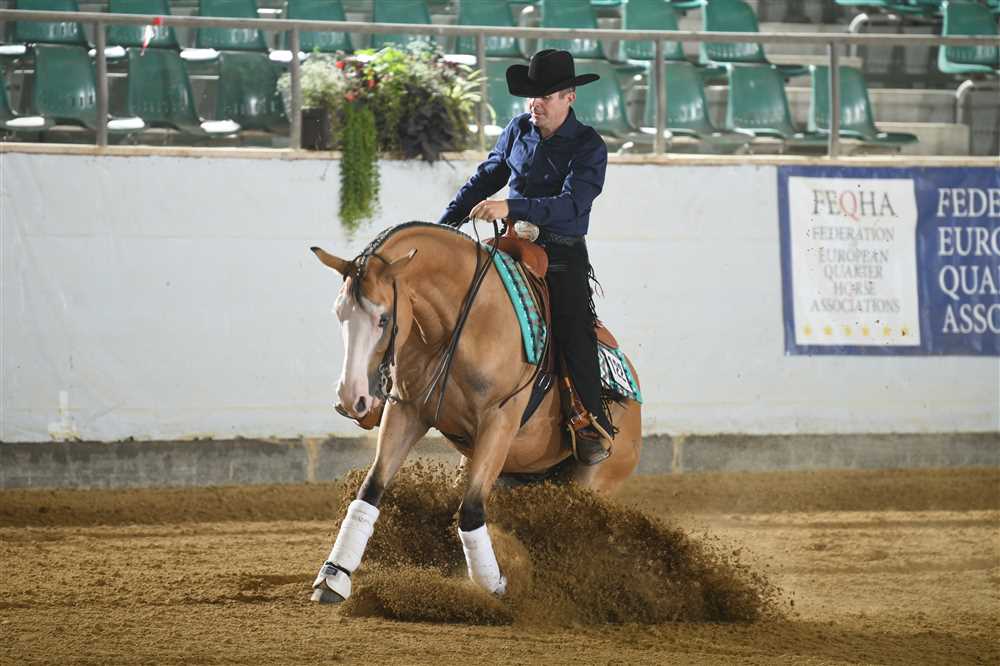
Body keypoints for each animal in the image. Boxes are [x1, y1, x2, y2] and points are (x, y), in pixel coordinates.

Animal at [309, 221, 642, 602]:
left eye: (383, 318)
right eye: (339, 314)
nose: (351, 399)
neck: (462, 324)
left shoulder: (498, 423)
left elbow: (470, 511)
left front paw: (494, 583)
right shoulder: (406, 412)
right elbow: (371, 489)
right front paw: (334, 577)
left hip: (593, 480)